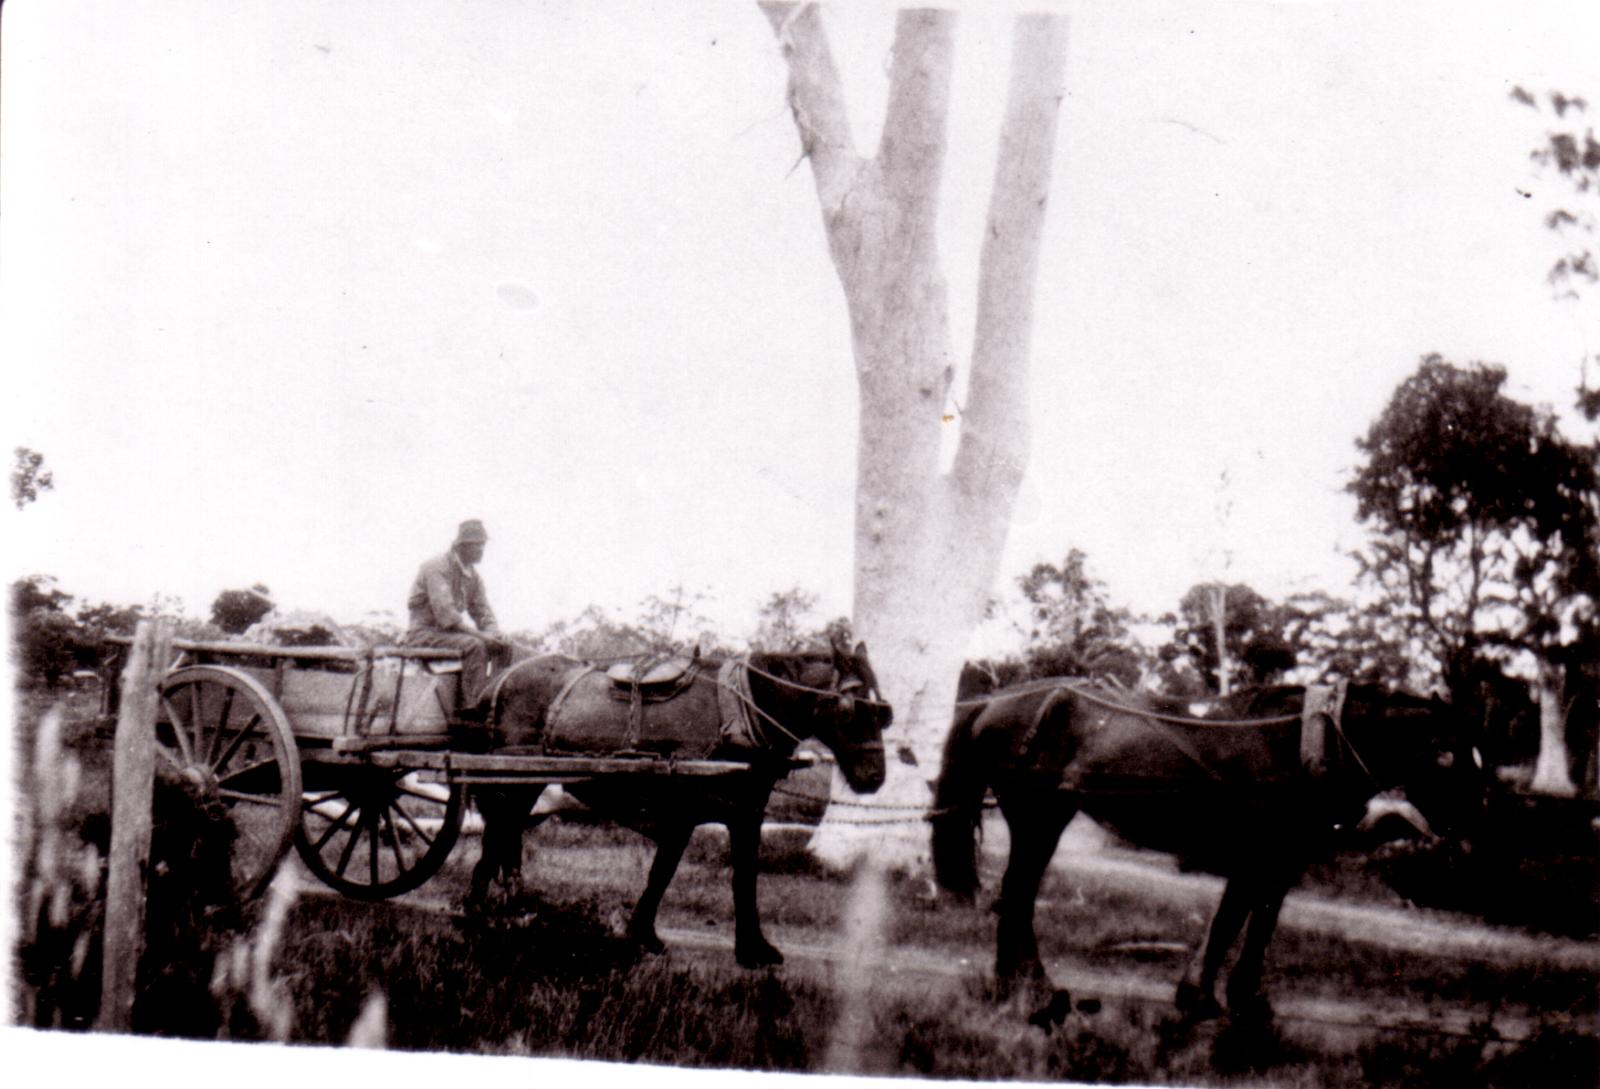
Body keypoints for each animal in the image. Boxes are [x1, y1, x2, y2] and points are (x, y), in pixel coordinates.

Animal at [467, 642, 889, 965]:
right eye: (851, 709)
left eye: (883, 712)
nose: (875, 777)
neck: (743, 713)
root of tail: (498, 681)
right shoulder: (682, 814)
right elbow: (662, 873)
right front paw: (641, 935)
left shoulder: (746, 813)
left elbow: (744, 877)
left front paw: (753, 948)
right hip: (514, 784)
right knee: (495, 844)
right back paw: (476, 913)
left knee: (504, 844)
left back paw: (509, 909)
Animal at [934, 678, 1478, 1017]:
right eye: (1445, 754)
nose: (1474, 824)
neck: (1298, 744)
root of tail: (994, 701)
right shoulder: (1257, 852)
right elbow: (1232, 917)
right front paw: (1201, 997)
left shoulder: (1285, 856)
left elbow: (1259, 920)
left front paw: (1244, 999)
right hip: (1038, 818)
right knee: (1017, 896)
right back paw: (1030, 990)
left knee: (1016, 898)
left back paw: (1015, 985)